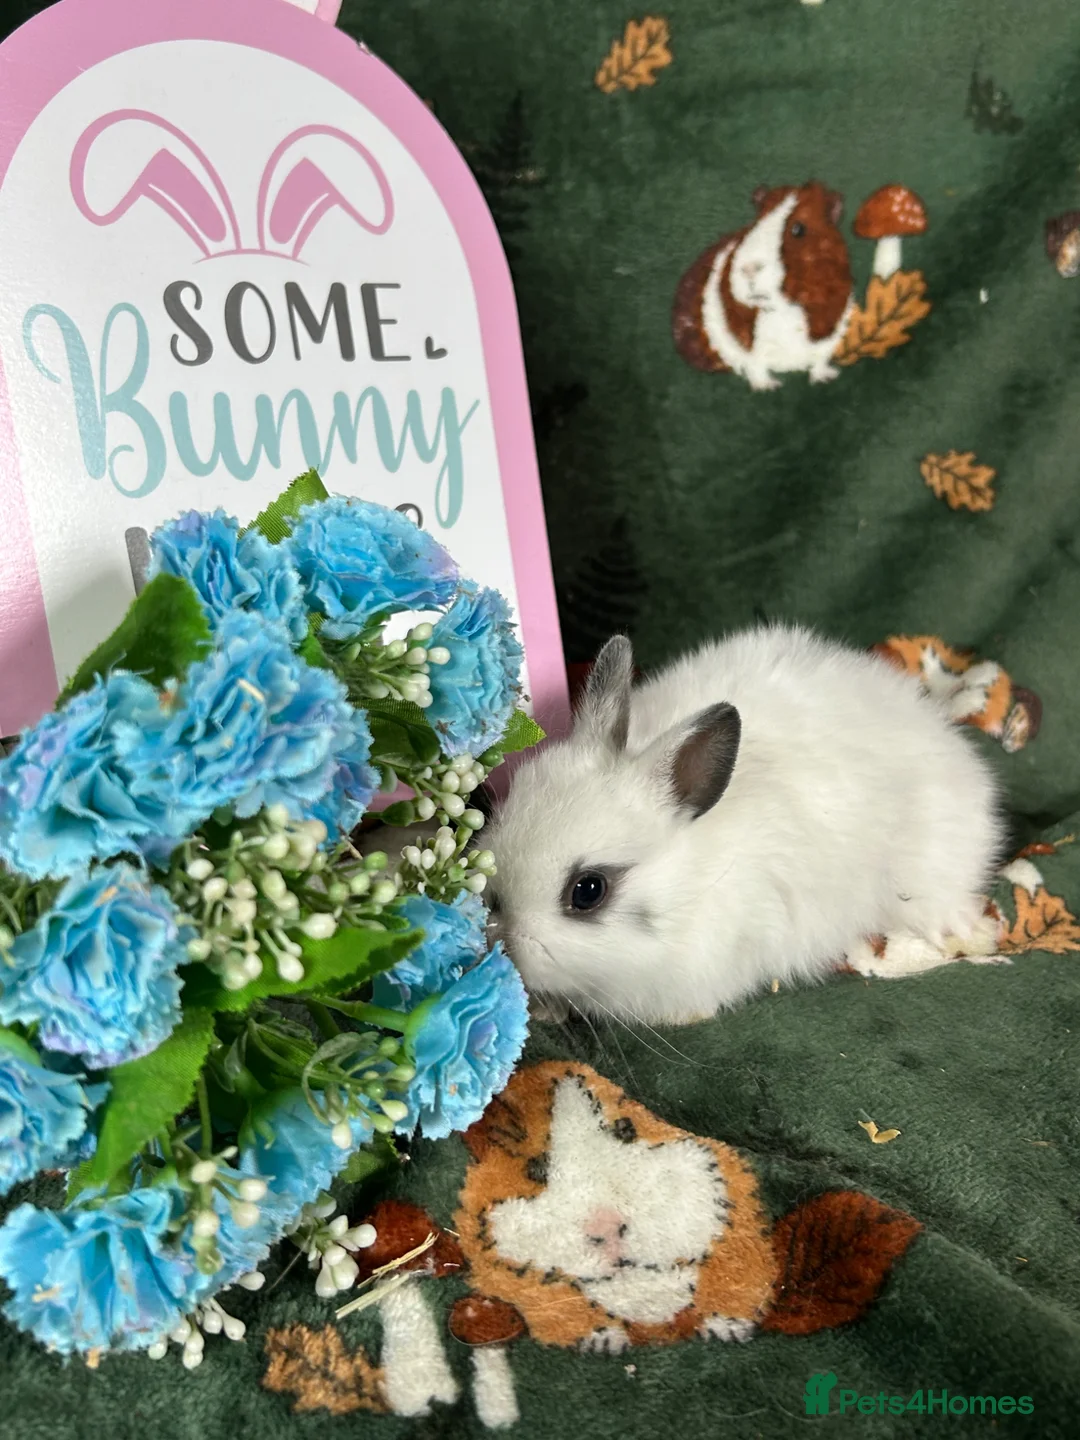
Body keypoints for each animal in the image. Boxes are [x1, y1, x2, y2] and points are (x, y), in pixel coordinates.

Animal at [672, 181, 854, 391]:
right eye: (755, 225)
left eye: (798, 229)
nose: (749, 269)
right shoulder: (748, 344)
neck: (783, 310)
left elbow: (819, 361)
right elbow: (756, 366)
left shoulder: (829, 333)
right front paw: (768, 387)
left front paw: (825, 377)